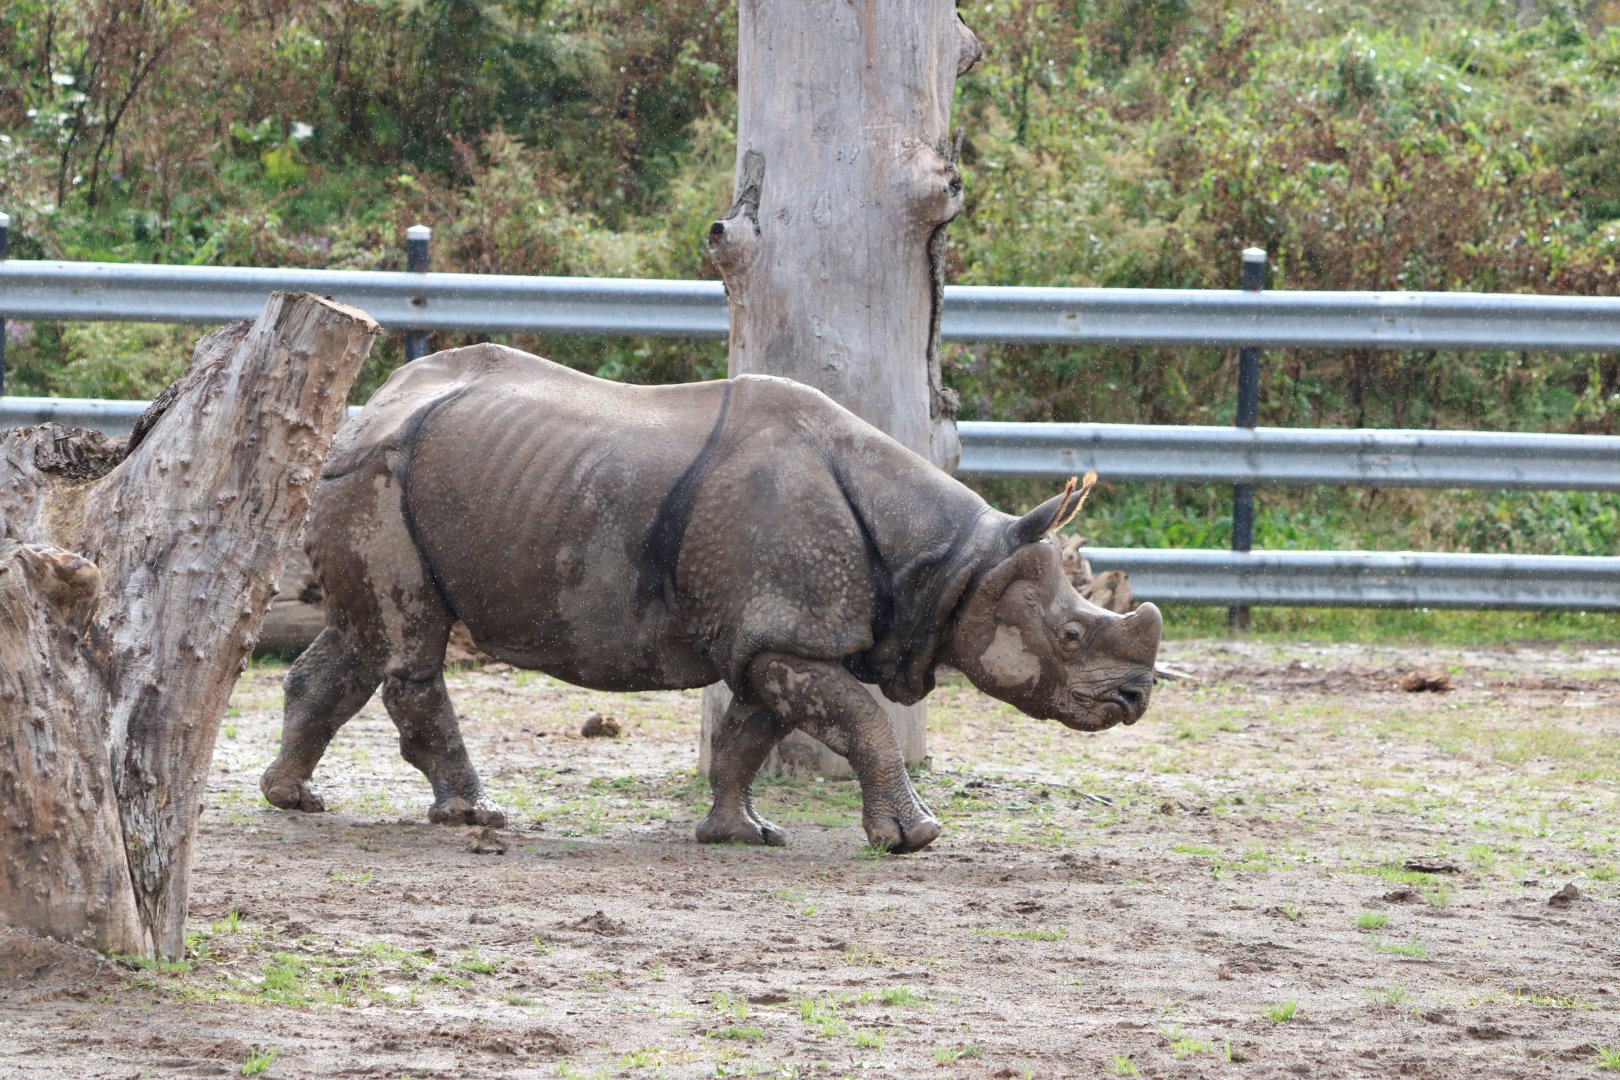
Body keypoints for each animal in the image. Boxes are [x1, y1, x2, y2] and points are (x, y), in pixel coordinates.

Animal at [260, 345, 1162, 852]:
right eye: (1070, 638)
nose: (1135, 698)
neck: (952, 565)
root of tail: (367, 406)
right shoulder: (785, 631)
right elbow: (861, 721)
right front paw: (915, 838)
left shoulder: (769, 638)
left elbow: (750, 735)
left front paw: (740, 834)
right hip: (382, 473)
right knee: (408, 640)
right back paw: (476, 818)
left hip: (388, 473)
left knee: (361, 635)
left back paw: (292, 797)